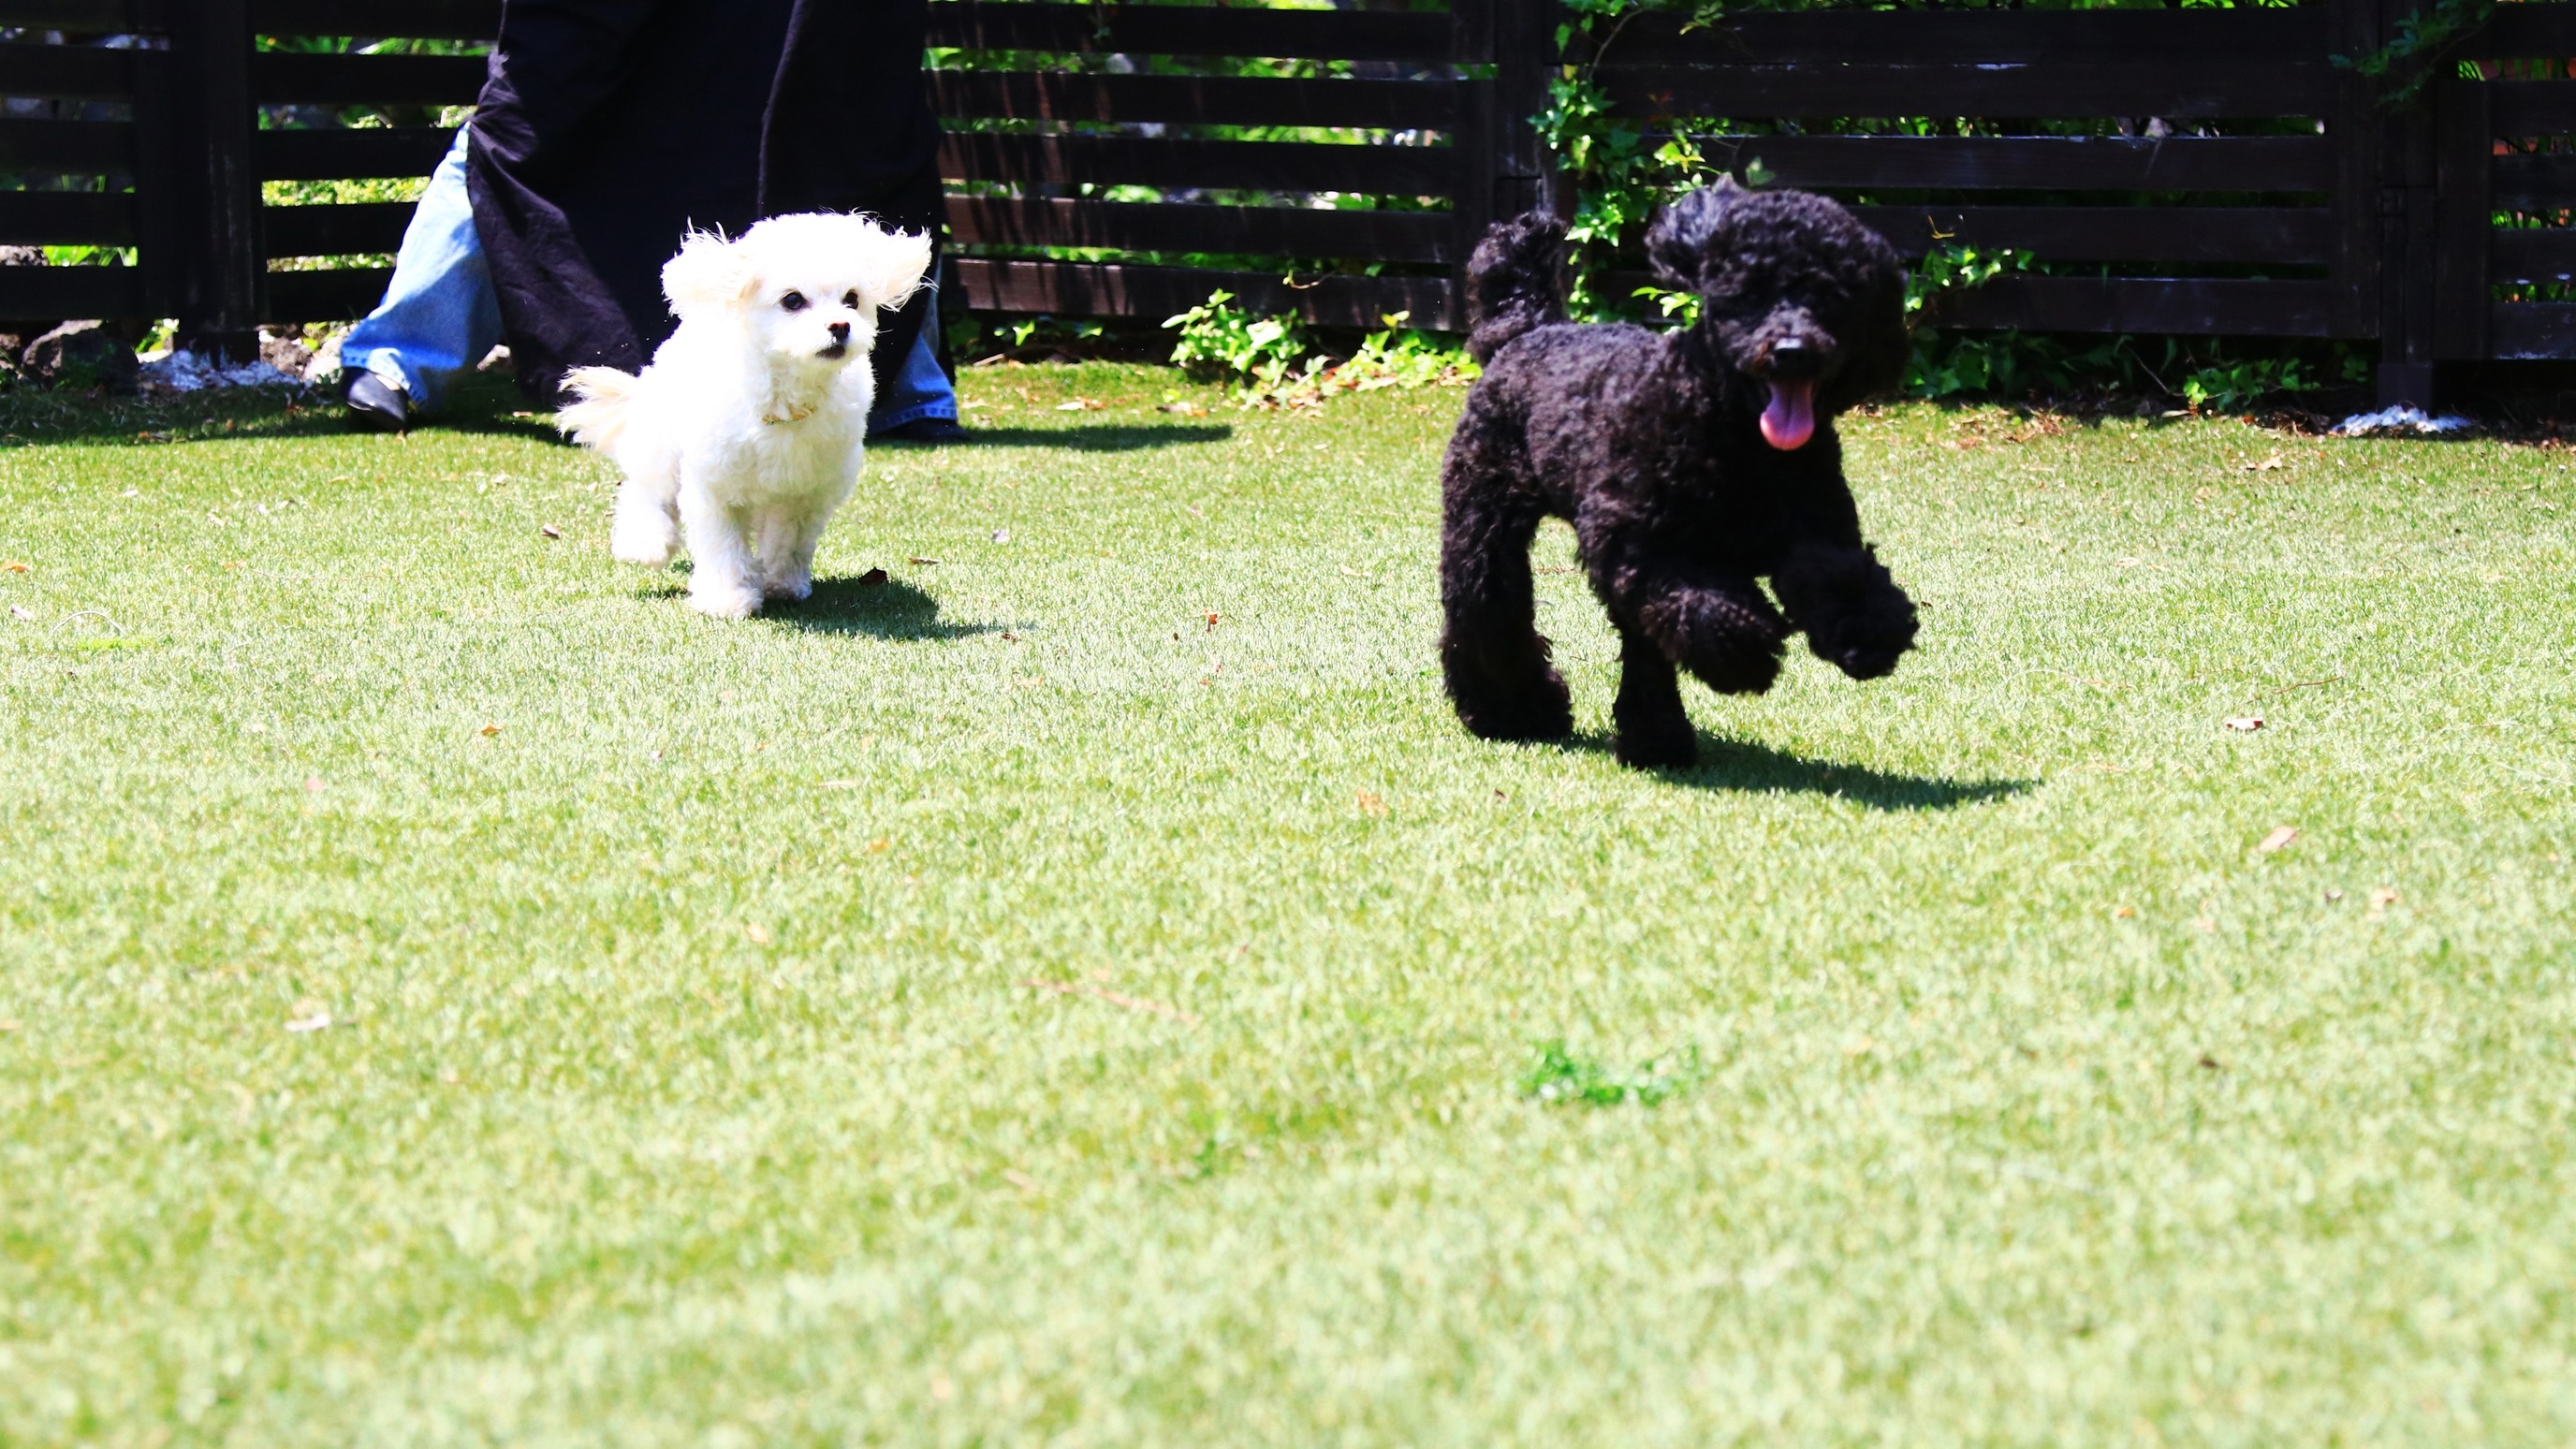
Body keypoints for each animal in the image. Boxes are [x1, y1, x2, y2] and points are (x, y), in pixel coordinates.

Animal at [553, 213, 937, 613]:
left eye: (852, 299)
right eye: (793, 299)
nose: (840, 326)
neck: (784, 404)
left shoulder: (803, 493)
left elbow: (789, 542)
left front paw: (783, 584)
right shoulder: (714, 487)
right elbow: (722, 545)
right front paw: (727, 598)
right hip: (663, 435)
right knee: (647, 487)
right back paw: (646, 543)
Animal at [1442, 180, 1926, 768]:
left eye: (1830, 298)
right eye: (1749, 295)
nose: (1791, 351)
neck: (1740, 438)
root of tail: (1530, 329)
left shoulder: (1820, 524)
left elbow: (1832, 571)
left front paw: (1868, 630)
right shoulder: (1633, 543)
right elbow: (1703, 604)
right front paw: (1747, 652)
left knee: (1639, 645)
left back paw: (1654, 738)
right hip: (1483, 517)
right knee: (1489, 607)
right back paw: (1516, 713)